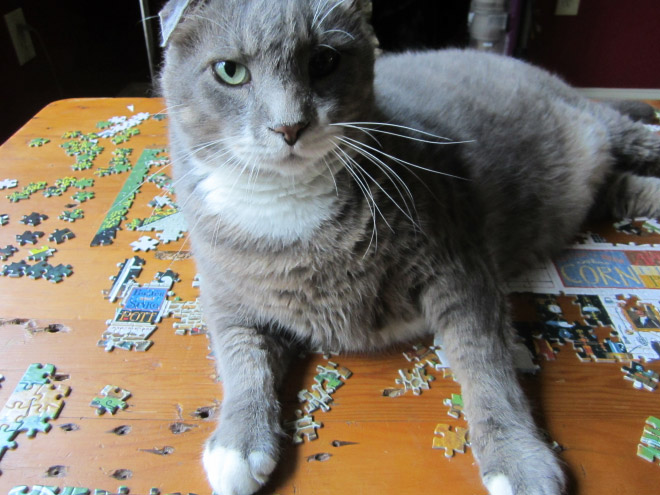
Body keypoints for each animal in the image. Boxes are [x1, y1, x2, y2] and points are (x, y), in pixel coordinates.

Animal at [159, 0, 660, 495]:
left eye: (323, 61)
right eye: (230, 71)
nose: (290, 126)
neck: (291, 214)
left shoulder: (461, 271)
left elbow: (487, 365)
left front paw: (519, 462)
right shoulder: (225, 299)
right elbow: (242, 361)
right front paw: (237, 445)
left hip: (600, 125)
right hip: (602, 187)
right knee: (627, 187)